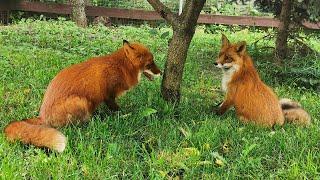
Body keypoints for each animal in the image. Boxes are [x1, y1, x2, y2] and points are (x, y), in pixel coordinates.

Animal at [3, 40, 161, 152]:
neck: (121, 67)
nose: (160, 73)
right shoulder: (108, 95)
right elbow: (117, 109)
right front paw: (125, 115)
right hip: (80, 101)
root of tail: (42, 116)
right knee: (76, 124)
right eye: (150, 63)